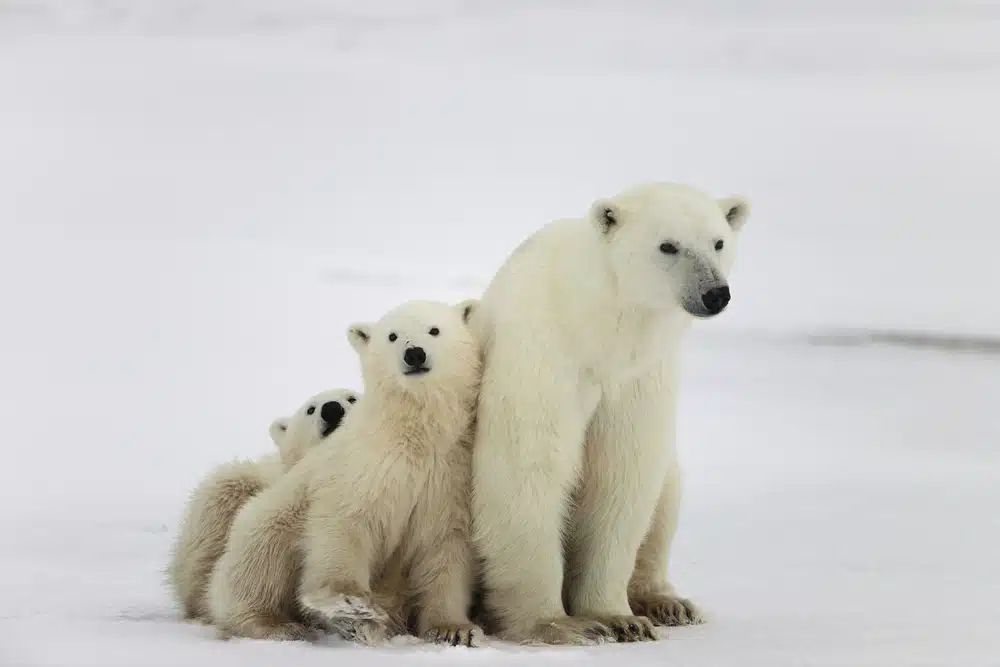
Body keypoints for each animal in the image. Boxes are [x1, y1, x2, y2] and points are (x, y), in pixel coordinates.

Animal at [472, 180, 748, 644]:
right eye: (668, 245)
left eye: (718, 242)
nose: (715, 294)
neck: (598, 327)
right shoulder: (543, 353)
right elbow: (527, 466)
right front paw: (558, 624)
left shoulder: (639, 377)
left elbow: (622, 474)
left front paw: (619, 618)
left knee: (667, 492)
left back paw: (667, 602)